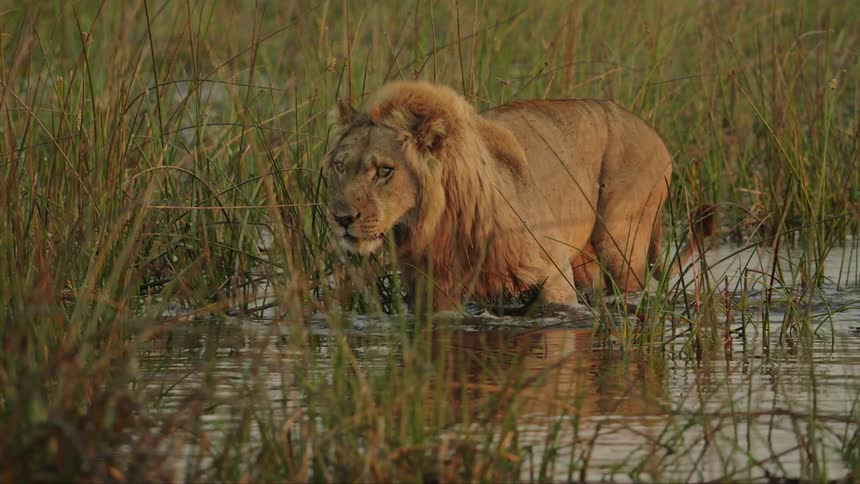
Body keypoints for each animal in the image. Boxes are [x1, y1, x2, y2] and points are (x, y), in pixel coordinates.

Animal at [324, 81, 711, 311]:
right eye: (340, 167)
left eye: (384, 171)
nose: (341, 219)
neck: (439, 223)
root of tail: (652, 132)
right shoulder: (431, 291)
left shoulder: (553, 273)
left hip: (621, 240)